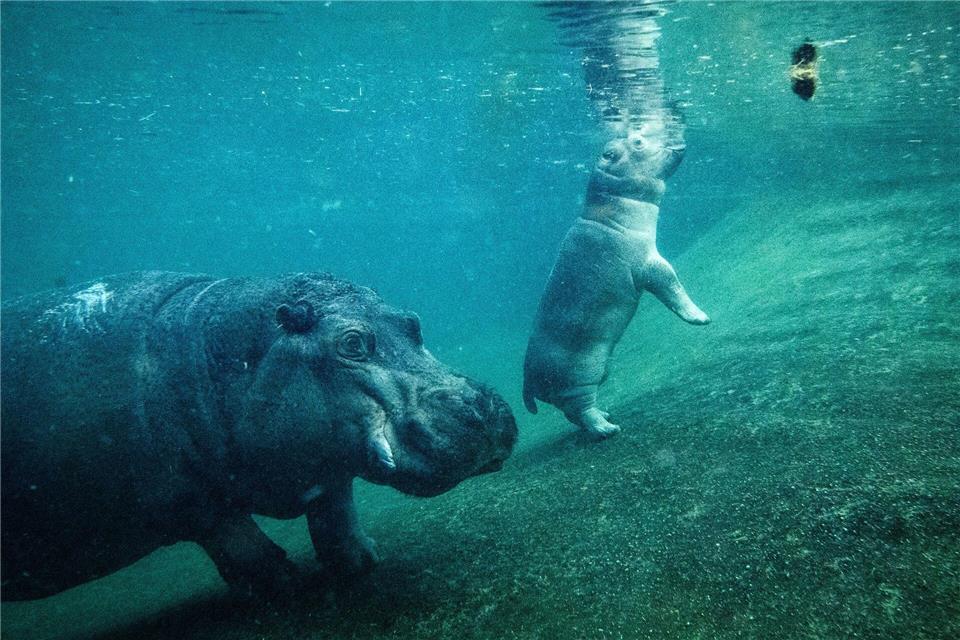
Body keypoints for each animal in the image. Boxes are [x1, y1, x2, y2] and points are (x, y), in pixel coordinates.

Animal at [1, 271, 517, 600]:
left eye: (413, 322)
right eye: (351, 342)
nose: (482, 407)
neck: (200, 350)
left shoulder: (326, 465)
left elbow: (337, 520)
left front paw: (363, 563)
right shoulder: (192, 506)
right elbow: (244, 549)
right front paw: (284, 586)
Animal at [523, 123, 710, 439]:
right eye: (638, 141)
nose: (677, 134)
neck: (613, 202)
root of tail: (526, 378)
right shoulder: (649, 264)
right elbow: (673, 286)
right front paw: (702, 318)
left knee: (573, 413)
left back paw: (607, 416)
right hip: (579, 378)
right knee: (580, 409)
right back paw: (607, 429)